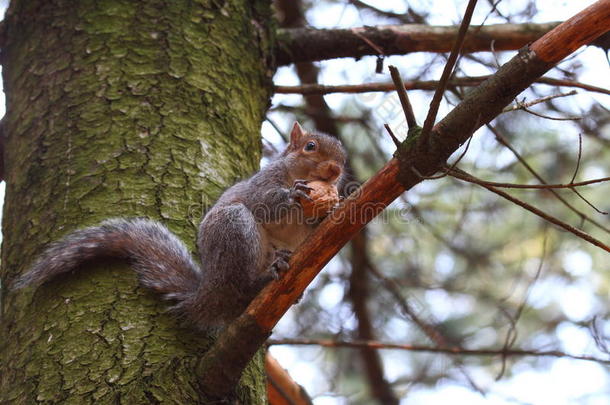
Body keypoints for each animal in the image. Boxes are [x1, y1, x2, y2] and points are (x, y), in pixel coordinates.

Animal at [14, 122, 344, 328]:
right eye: (310, 146)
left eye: (342, 155)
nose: (336, 170)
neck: (296, 174)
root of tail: (208, 294)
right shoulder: (262, 184)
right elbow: (264, 201)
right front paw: (294, 195)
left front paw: (333, 206)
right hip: (234, 229)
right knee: (240, 287)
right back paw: (263, 278)